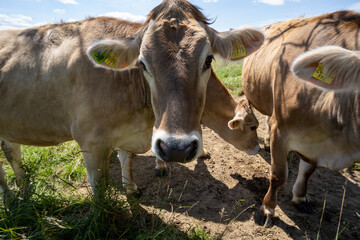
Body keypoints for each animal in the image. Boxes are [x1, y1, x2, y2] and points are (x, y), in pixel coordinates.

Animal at [0, 0, 264, 200]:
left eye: (209, 59)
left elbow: (127, 163)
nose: (177, 149)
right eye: (143, 63)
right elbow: (100, 193)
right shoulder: (91, 142)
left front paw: (132, 189)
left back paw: (23, 189)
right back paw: (11, 199)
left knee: (12, 153)